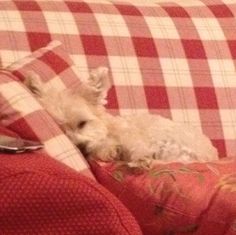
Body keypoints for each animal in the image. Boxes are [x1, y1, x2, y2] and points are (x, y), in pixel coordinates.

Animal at [24, 67, 218, 168]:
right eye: (61, 130)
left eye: (82, 123)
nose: (81, 147)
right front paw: (109, 151)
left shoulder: (131, 136)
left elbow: (135, 147)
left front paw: (138, 157)